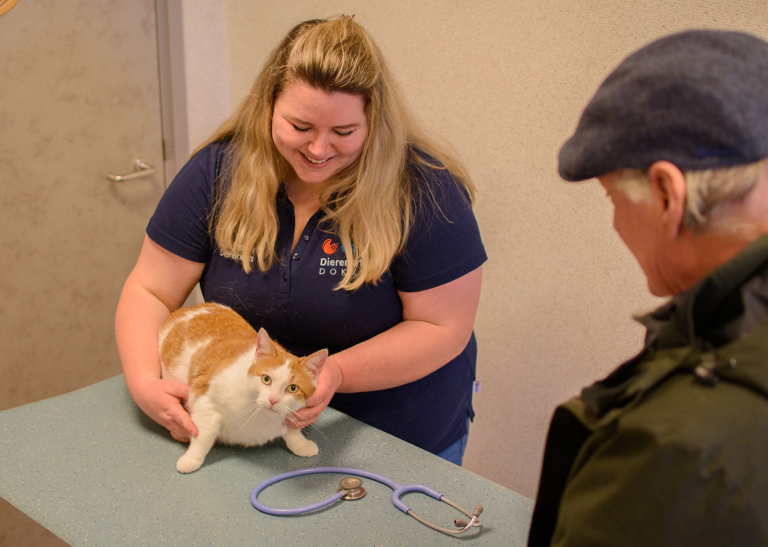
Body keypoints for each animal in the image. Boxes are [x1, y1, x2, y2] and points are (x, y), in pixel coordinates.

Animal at [159, 304, 328, 476]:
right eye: (266, 379)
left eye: (293, 388)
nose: (273, 400)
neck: (259, 413)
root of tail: (192, 307)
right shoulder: (206, 401)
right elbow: (203, 436)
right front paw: (192, 458)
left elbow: (292, 428)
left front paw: (300, 443)